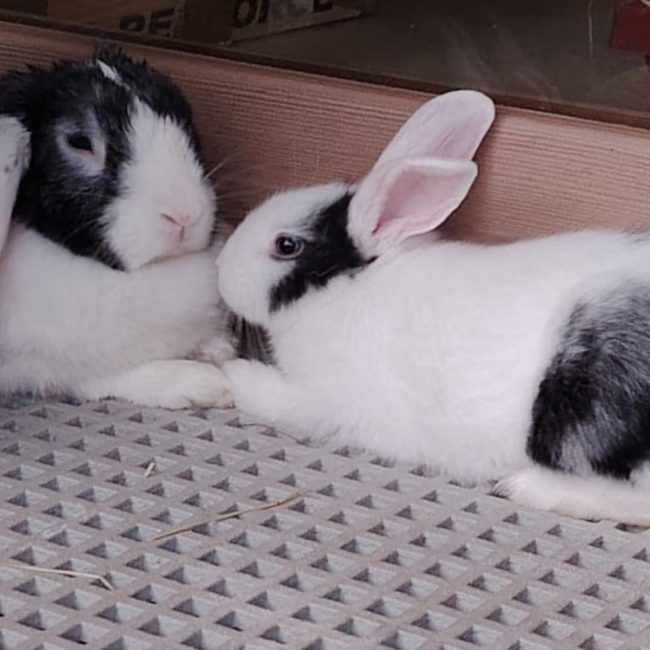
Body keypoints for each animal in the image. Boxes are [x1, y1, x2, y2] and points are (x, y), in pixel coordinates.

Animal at [0, 48, 235, 410]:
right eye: (80, 142)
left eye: (185, 118)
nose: (185, 214)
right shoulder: (55, 367)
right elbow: (117, 376)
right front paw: (205, 383)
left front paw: (219, 348)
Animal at [216, 89, 650, 525]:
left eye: (286, 245)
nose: (221, 268)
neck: (348, 290)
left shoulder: (320, 399)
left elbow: (271, 395)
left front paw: (229, 372)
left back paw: (530, 488)